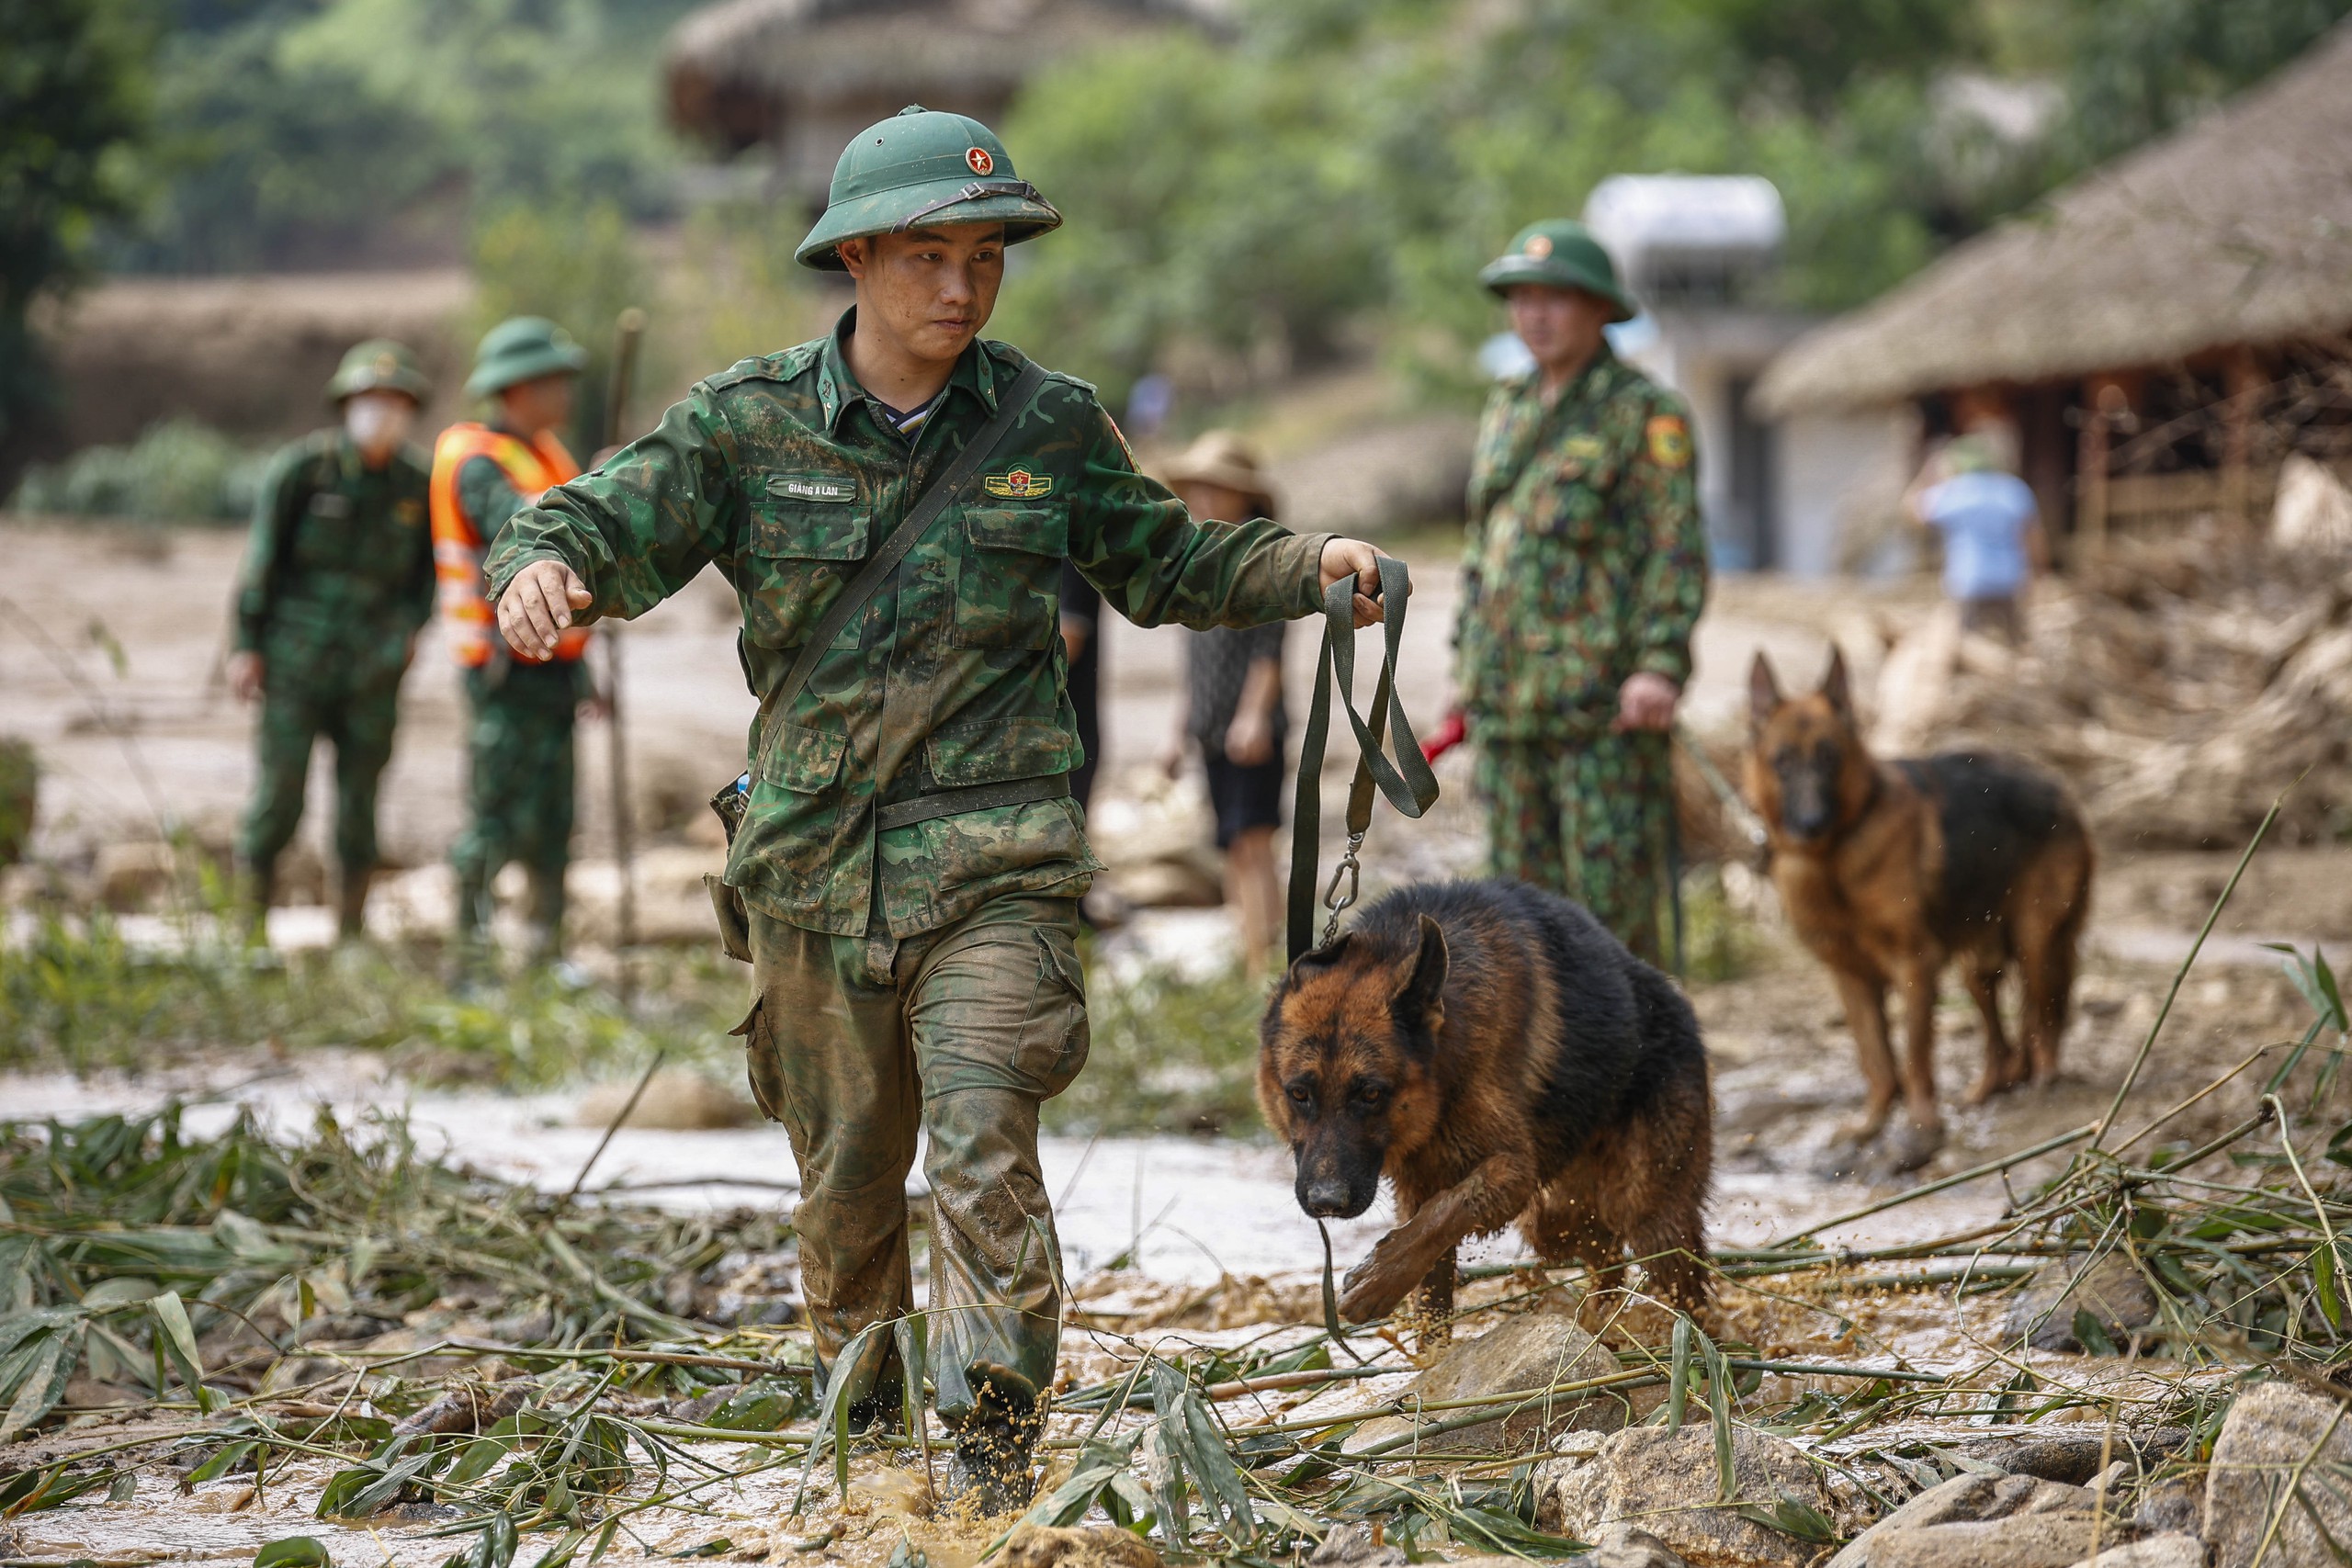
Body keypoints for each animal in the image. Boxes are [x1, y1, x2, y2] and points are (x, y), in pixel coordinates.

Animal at [1261, 879, 1721, 1335]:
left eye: (1371, 1094)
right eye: (1299, 1094)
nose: (1327, 1203)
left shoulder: (1513, 1172)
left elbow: (1443, 1215)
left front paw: (1378, 1280)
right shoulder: (1420, 1187)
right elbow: (1429, 1275)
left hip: (1649, 1218)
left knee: (1681, 1282)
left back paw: (1695, 1343)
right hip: (1554, 1221)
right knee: (1605, 1259)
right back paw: (1600, 1326)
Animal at [1749, 649, 2098, 1175]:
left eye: (1830, 757)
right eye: (1782, 762)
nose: (1811, 824)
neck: (1834, 859)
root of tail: (2059, 786)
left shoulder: (1915, 964)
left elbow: (1913, 1057)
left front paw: (1919, 1130)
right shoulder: (1851, 977)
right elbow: (1876, 1059)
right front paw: (1870, 1125)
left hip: (2035, 942)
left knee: (2044, 1014)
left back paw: (2045, 1078)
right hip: (1979, 964)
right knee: (2001, 1037)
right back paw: (1990, 1088)